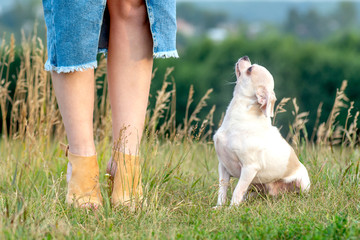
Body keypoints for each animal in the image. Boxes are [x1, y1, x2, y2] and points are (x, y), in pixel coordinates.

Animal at [214, 55, 310, 206]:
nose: (245, 56)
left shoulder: (249, 168)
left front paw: (232, 208)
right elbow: (222, 189)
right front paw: (219, 207)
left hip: (303, 184)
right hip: (254, 188)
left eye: (250, 69)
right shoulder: (223, 166)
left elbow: (237, 190)